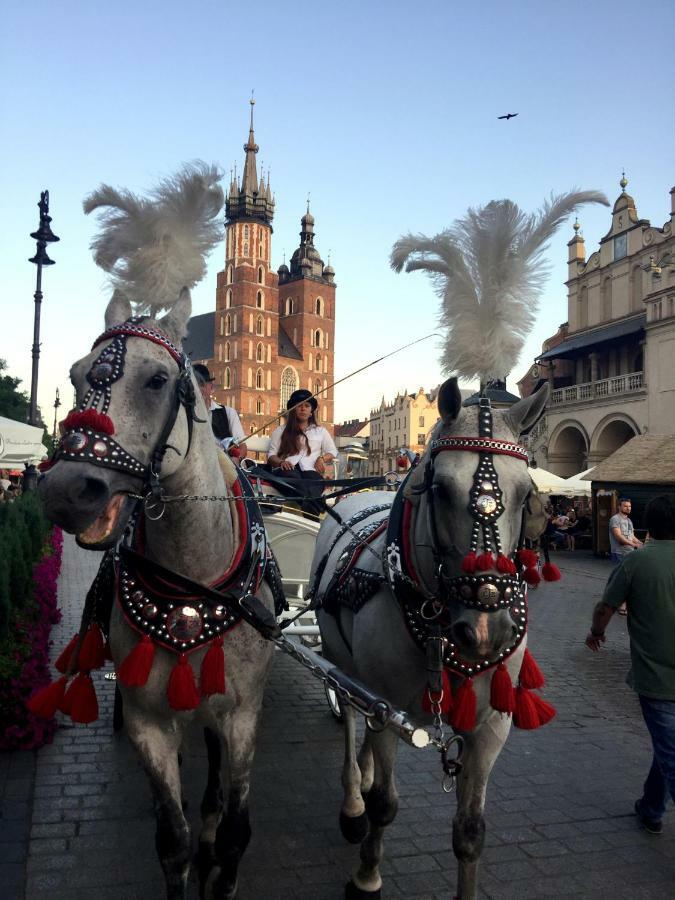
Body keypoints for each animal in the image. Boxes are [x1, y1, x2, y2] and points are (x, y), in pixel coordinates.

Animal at [37, 292, 274, 896]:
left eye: (158, 380)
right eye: (75, 376)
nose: (66, 491)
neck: (191, 574)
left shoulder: (244, 713)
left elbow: (237, 831)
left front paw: (220, 863)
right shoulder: (149, 721)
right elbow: (172, 840)